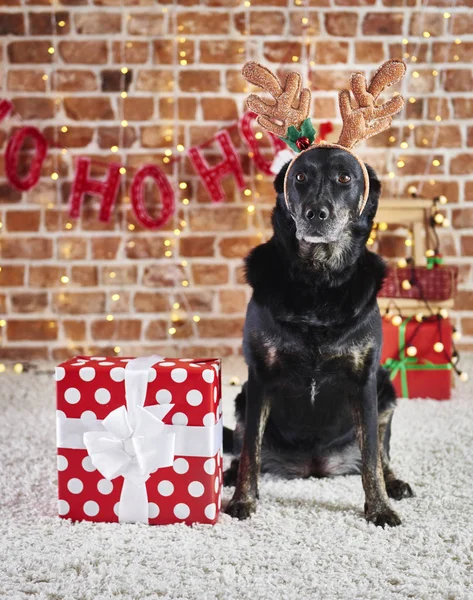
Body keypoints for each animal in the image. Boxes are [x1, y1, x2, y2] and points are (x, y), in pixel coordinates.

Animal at [223, 149, 412, 524]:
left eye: (345, 178)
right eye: (300, 177)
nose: (315, 213)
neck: (318, 280)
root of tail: (314, 467)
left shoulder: (364, 380)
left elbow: (371, 455)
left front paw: (380, 508)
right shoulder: (260, 376)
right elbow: (250, 448)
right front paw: (243, 500)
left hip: (386, 390)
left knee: (381, 453)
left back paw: (395, 483)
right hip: (241, 398)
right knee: (244, 448)